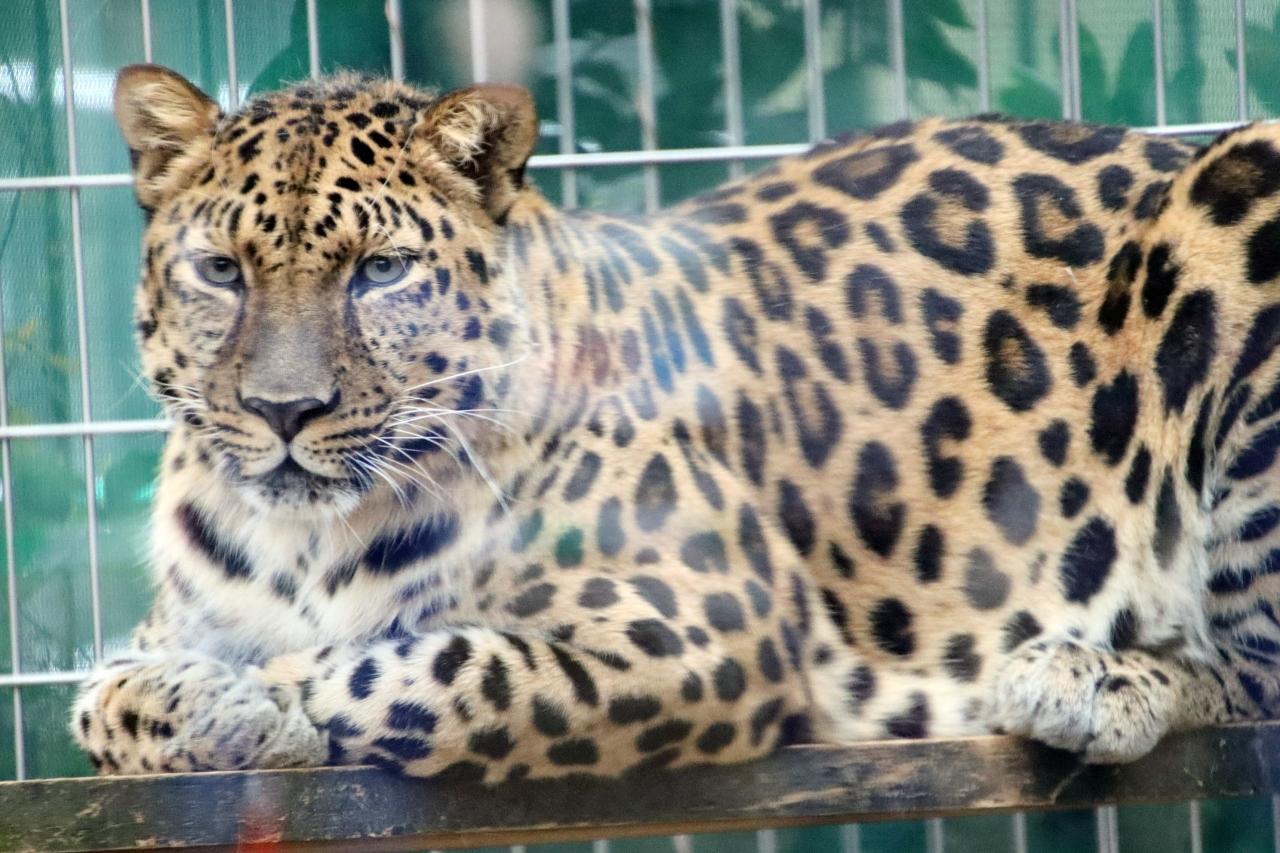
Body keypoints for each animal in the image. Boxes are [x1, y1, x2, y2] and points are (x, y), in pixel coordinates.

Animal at [70, 62, 1280, 781]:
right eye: (221, 269)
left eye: (380, 271)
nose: (283, 410)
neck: (307, 539)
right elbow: (101, 703)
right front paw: (185, 699)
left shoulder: (707, 626)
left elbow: (420, 670)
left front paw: (251, 705)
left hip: (1245, 188)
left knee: (1253, 685)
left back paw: (1087, 676)